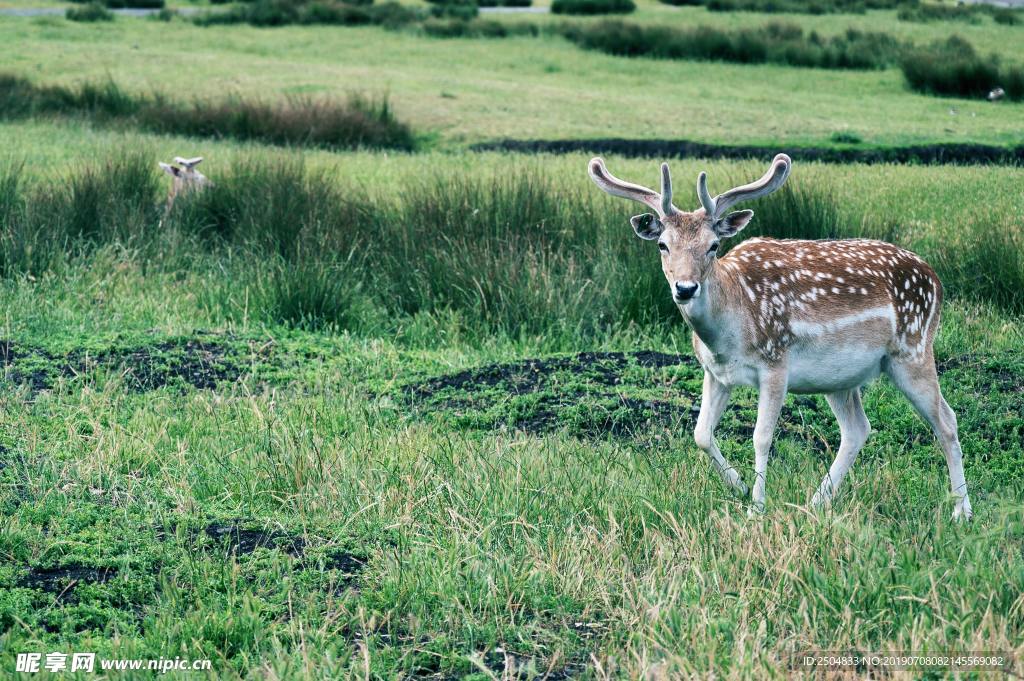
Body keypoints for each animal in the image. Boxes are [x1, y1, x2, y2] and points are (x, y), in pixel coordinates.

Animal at [588, 154, 972, 520]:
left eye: (714, 245)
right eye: (663, 245)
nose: (685, 288)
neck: (729, 332)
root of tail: (936, 278)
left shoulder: (776, 364)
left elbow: (761, 437)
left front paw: (756, 508)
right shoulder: (715, 372)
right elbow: (701, 434)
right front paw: (740, 487)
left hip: (914, 350)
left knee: (947, 421)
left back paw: (961, 511)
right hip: (840, 378)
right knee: (858, 429)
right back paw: (815, 503)